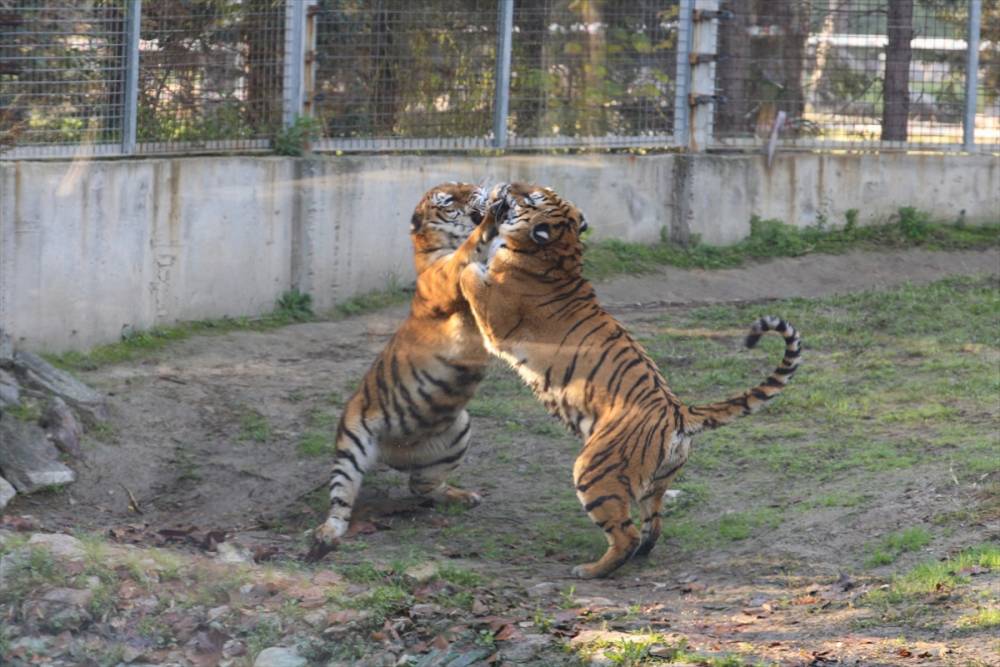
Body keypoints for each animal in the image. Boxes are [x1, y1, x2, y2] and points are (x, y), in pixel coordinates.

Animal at [310, 180, 494, 552]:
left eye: (464, 186)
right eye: (450, 199)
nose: (476, 191)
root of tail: (393, 453)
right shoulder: (448, 275)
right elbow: (472, 243)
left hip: (458, 430)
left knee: (421, 486)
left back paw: (462, 496)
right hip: (351, 446)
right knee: (341, 501)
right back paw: (327, 534)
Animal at [460, 184, 804, 580]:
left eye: (531, 196)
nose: (506, 187)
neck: (559, 251)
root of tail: (679, 413)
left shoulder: (495, 323)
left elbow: (470, 273)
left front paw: (469, 252)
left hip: (594, 471)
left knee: (623, 534)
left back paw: (591, 570)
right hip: (657, 483)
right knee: (653, 524)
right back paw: (641, 552)